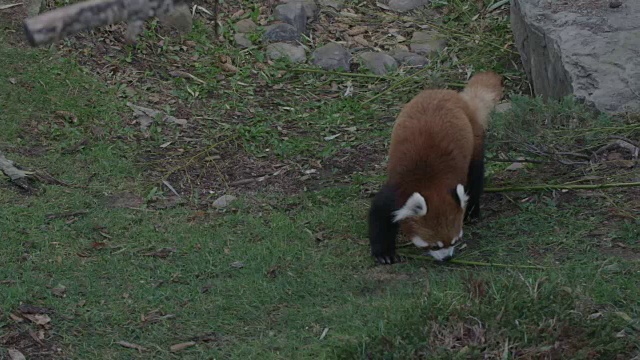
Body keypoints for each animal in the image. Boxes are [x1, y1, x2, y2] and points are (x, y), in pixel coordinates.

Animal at [368, 72, 502, 264]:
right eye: (434, 246)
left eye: (455, 241)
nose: (447, 258)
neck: (430, 183)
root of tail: (455, 96)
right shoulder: (396, 191)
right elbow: (379, 216)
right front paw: (384, 253)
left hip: (475, 141)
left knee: (475, 179)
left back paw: (472, 212)